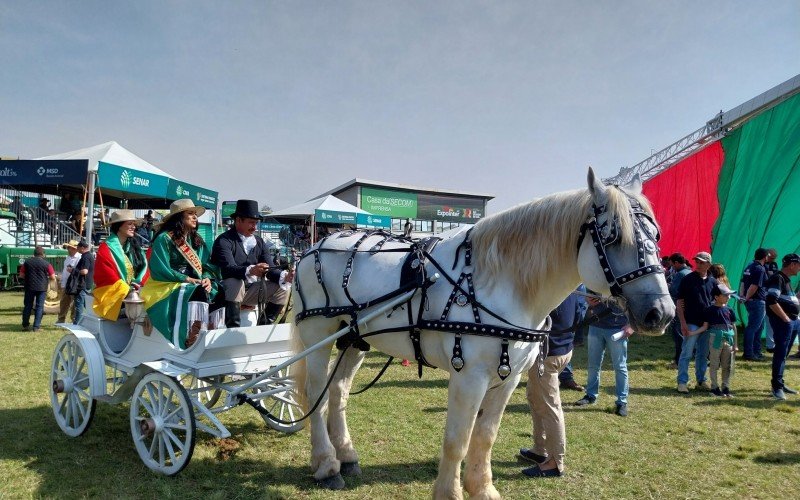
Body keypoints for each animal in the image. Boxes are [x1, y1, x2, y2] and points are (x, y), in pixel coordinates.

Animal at [290, 170, 672, 498]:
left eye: (656, 236)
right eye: (613, 237)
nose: (662, 313)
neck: (501, 281)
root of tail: (314, 247)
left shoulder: (509, 377)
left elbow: (485, 435)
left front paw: (483, 489)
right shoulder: (469, 376)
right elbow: (457, 439)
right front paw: (448, 493)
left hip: (355, 340)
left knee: (338, 390)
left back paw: (346, 454)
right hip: (318, 336)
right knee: (316, 393)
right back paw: (326, 464)